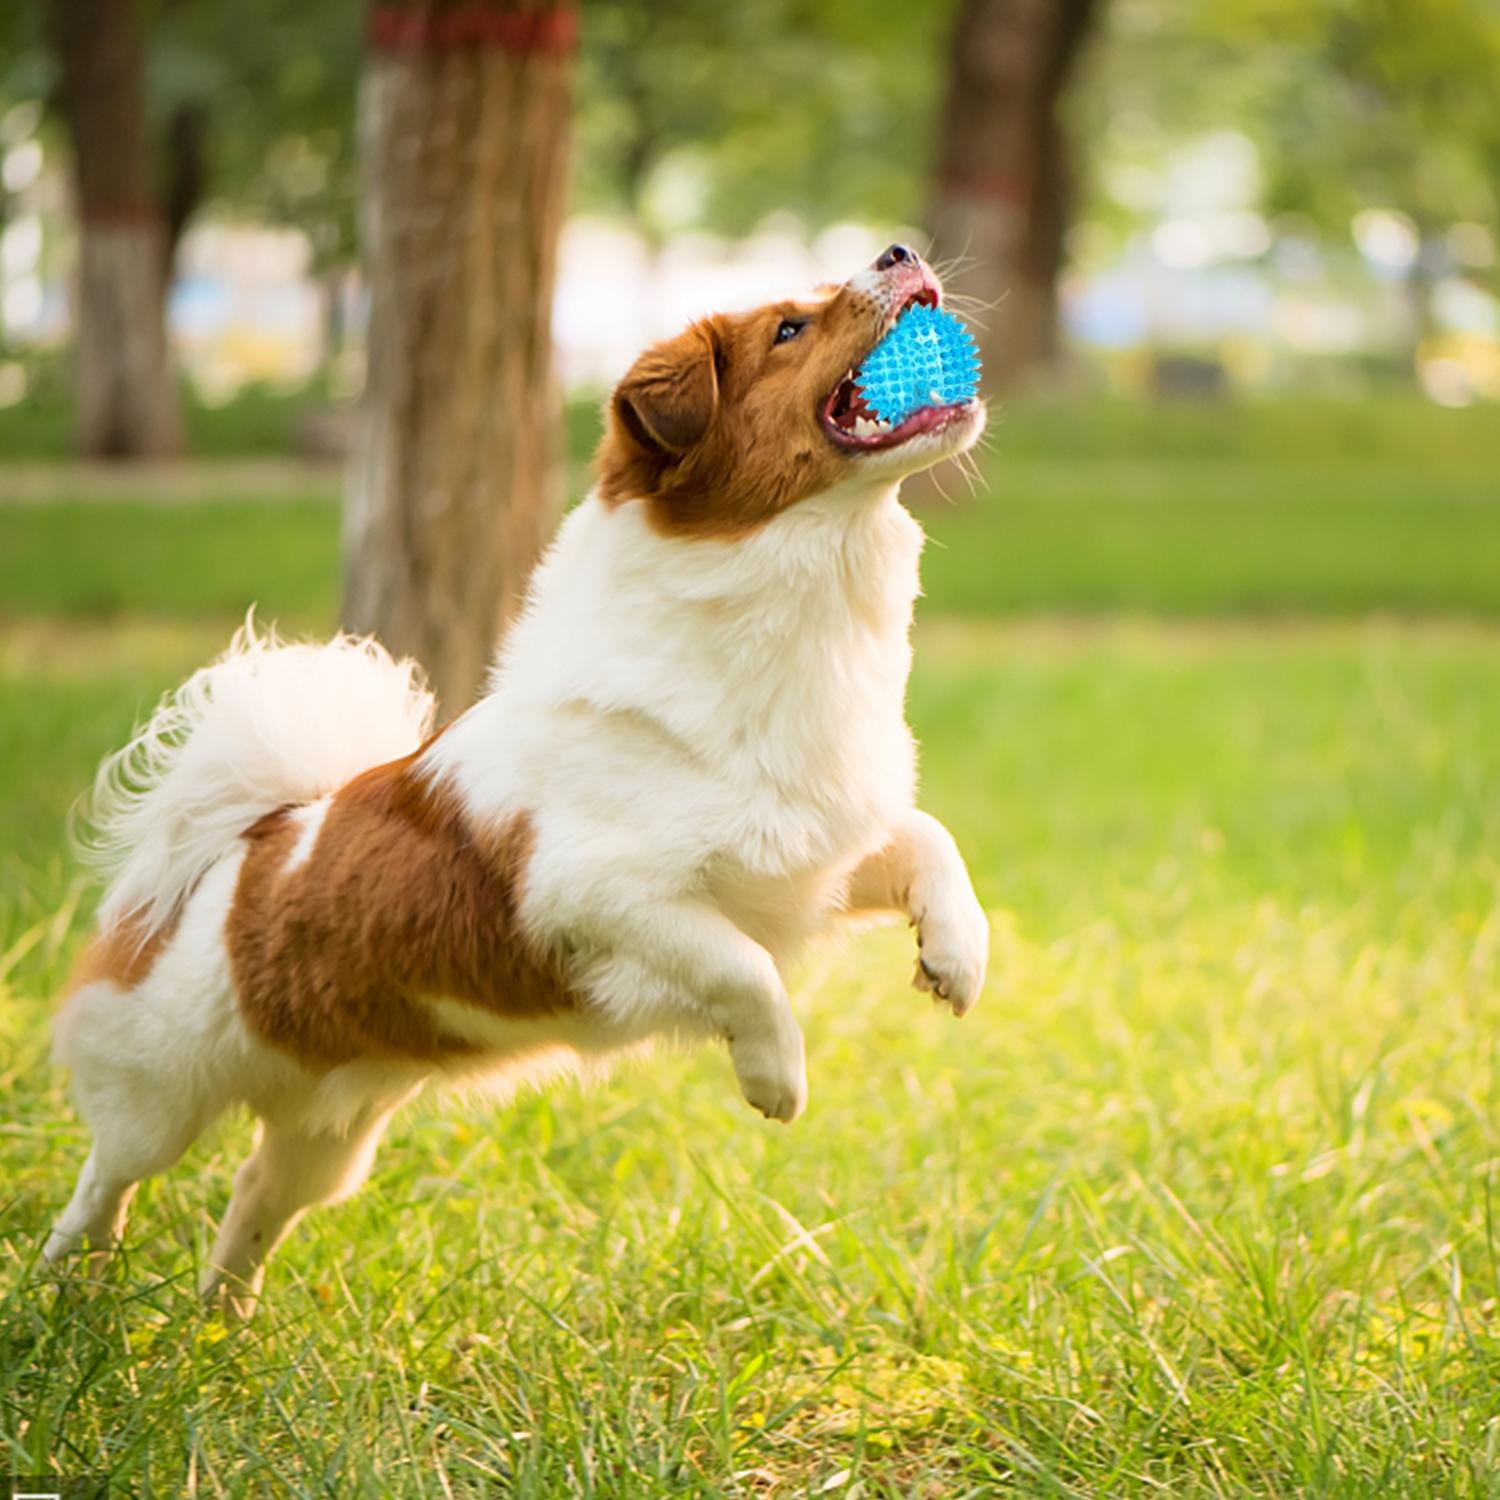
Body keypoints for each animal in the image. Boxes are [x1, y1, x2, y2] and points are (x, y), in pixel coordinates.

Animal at [43, 243, 984, 1314]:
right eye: (788, 329)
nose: (898, 250)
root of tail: (250, 839)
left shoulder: (810, 855)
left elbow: (929, 840)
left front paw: (957, 959)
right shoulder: (596, 897)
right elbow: (740, 967)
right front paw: (776, 1078)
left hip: (329, 1133)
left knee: (255, 1193)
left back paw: (222, 1323)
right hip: (159, 1093)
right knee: (108, 1177)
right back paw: (65, 1286)